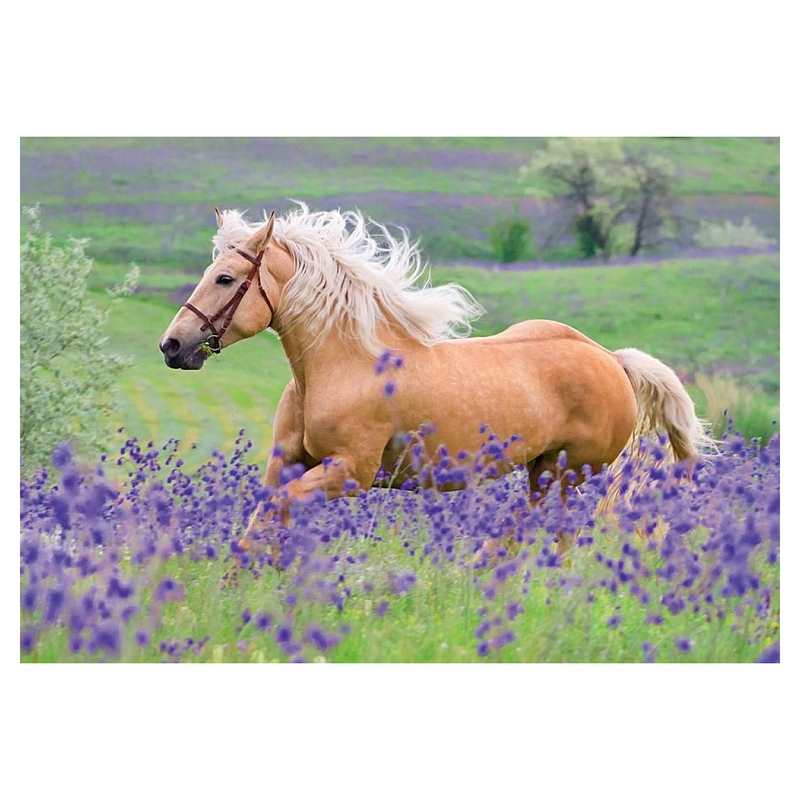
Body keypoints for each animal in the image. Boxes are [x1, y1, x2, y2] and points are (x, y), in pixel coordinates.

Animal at [159, 203, 711, 561]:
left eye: (226, 279)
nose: (172, 346)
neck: (342, 365)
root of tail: (610, 359)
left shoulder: (350, 472)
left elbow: (277, 513)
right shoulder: (289, 464)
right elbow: (262, 521)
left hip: (569, 472)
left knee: (554, 533)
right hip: (543, 470)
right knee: (530, 528)